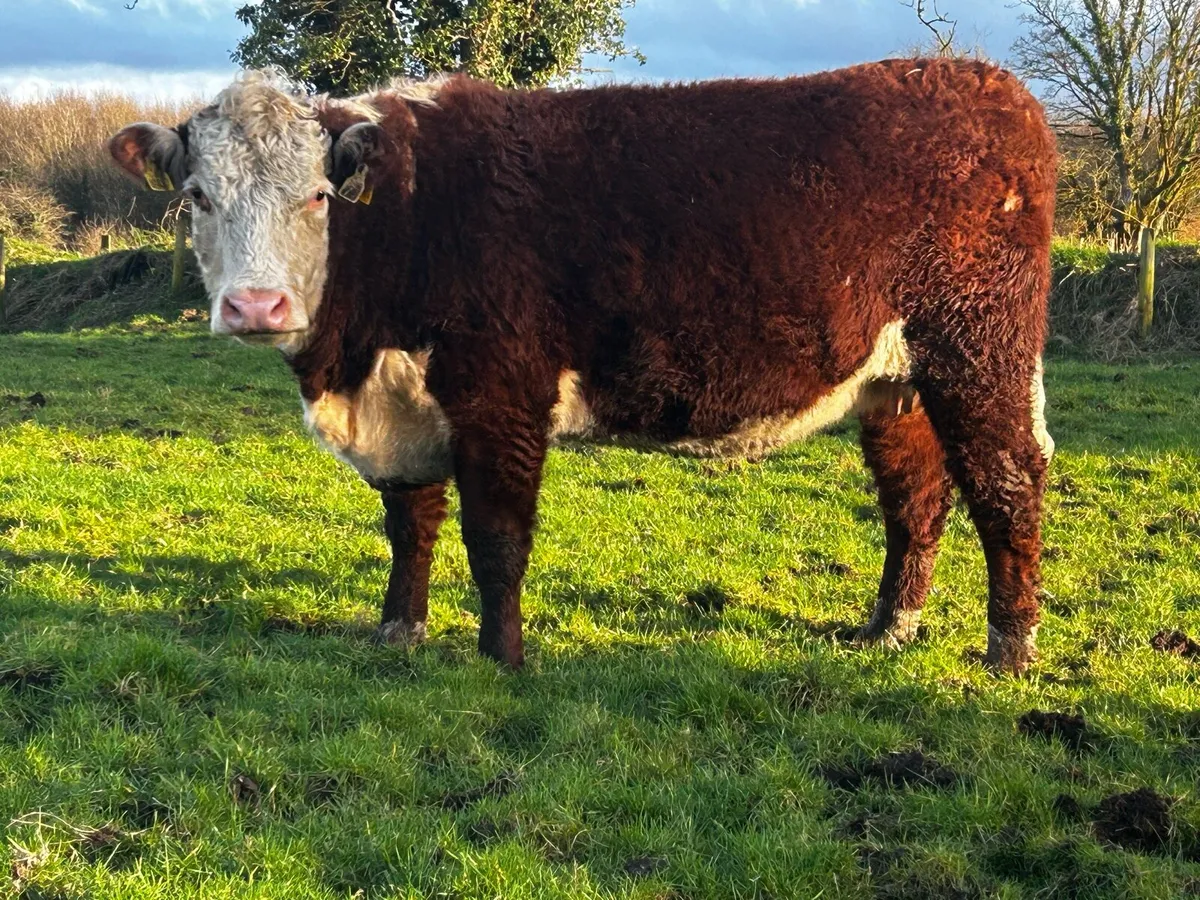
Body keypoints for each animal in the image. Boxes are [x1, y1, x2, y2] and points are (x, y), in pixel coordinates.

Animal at [109, 59, 1057, 674]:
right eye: (197, 198)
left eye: (316, 197)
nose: (256, 307)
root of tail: (983, 81)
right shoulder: (403, 406)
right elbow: (411, 523)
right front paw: (397, 632)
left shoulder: (501, 395)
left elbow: (496, 537)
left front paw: (502, 659)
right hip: (894, 380)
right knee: (916, 494)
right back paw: (889, 628)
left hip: (978, 351)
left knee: (1007, 480)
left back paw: (1009, 652)